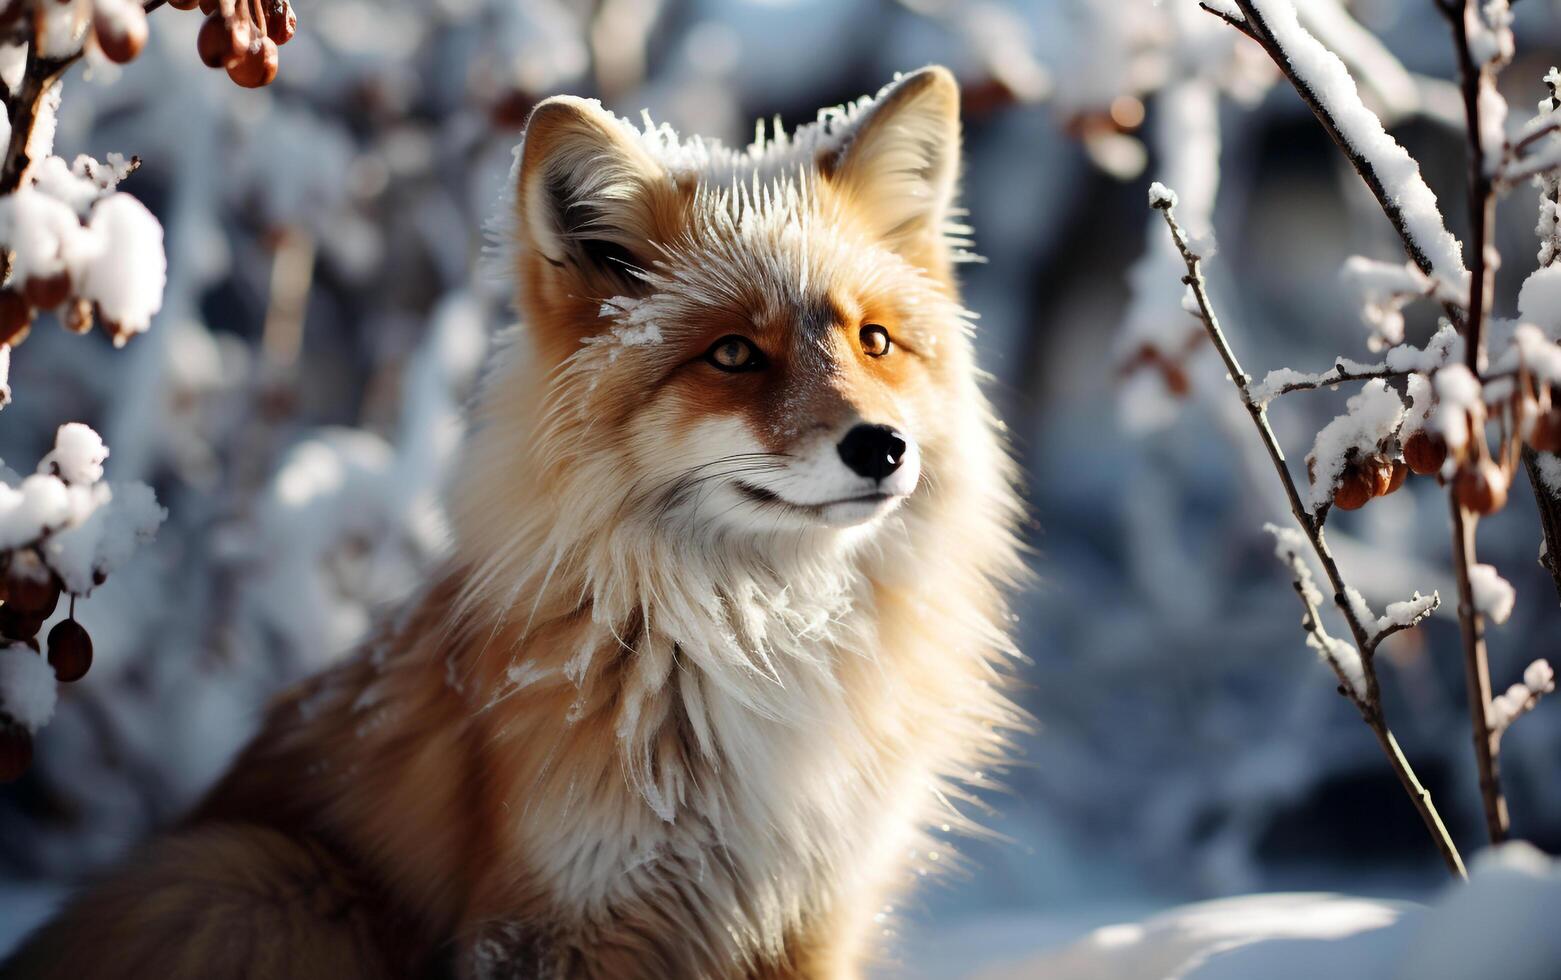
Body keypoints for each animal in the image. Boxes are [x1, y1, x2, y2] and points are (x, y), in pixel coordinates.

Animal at [3, 65, 1024, 973]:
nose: (881, 447)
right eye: (734, 354)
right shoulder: (555, 922)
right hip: (254, 883)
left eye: (874, 341)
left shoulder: (812, 916)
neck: (757, 645)